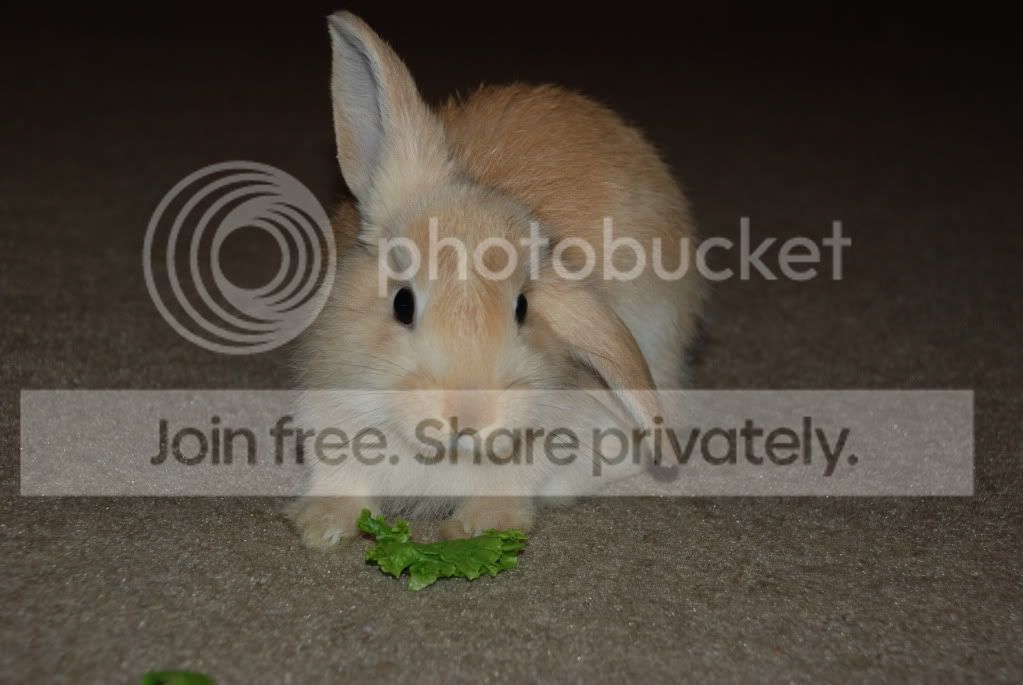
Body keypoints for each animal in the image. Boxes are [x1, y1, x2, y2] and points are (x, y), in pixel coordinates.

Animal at [288, 11, 706, 548]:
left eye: (523, 308)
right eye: (402, 303)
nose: (470, 418)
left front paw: (482, 527)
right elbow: (341, 479)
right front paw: (321, 528)